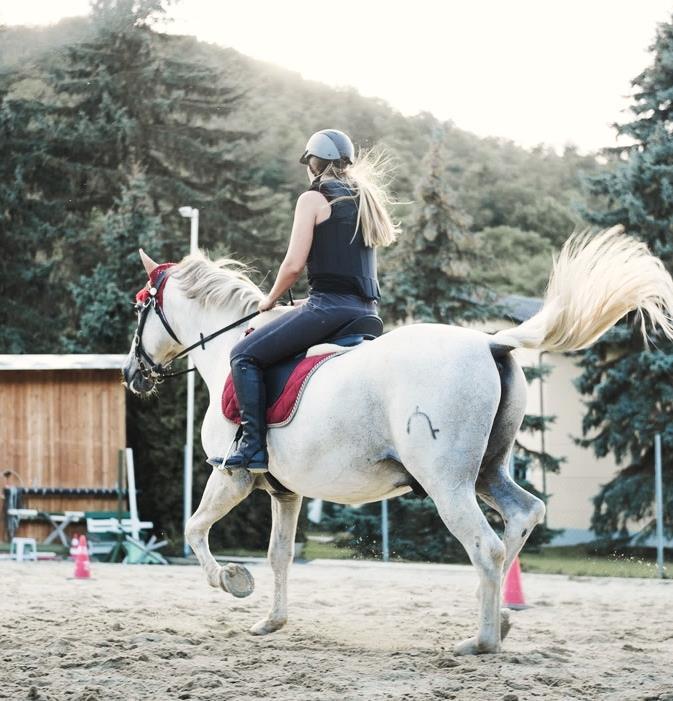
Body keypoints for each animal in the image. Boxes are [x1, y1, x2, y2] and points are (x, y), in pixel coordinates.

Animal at [122, 227, 672, 652]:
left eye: (139, 310)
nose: (132, 375)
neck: (227, 350)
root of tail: (490, 341)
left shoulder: (230, 474)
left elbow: (195, 529)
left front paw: (232, 581)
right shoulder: (285, 492)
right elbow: (280, 555)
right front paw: (272, 621)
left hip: (447, 484)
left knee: (487, 546)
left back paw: (481, 641)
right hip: (487, 472)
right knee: (523, 515)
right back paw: (500, 618)